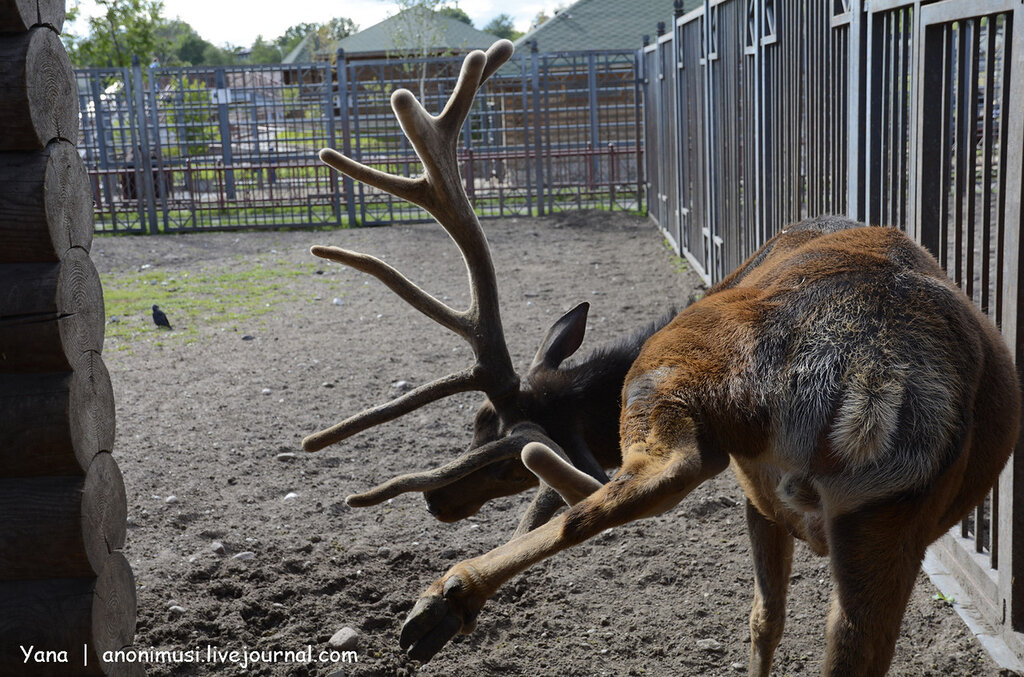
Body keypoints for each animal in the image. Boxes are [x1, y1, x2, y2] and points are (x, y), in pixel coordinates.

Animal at [305, 42, 1024, 675]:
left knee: (642, 479)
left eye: (490, 433)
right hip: (887, 525)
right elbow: (768, 619)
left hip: (678, 380)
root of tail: (872, 376)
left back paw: (445, 594)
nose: (438, 500)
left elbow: (757, 615)